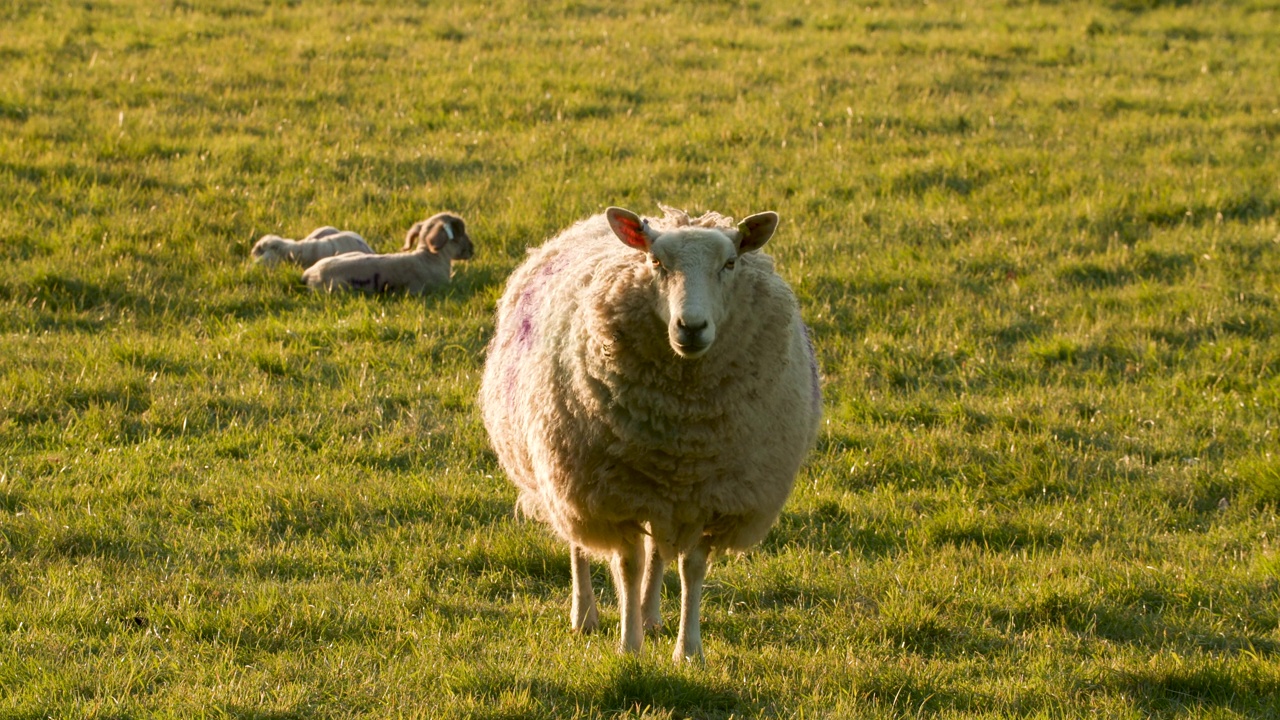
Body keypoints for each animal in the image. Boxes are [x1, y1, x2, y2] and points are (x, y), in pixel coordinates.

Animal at [478, 204, 819, 661]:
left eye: (730, 263)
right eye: (656, 262)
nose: (691, 327)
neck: (683, 425)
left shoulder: (711, 496)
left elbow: (691, 566)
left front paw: (688, 651)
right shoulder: (612, 495)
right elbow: (629, 564)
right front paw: (629, 645)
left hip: (660, 493)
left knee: (658, 548)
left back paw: (651, 614)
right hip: (568, 472)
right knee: (580, 545)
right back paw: (586, 615)